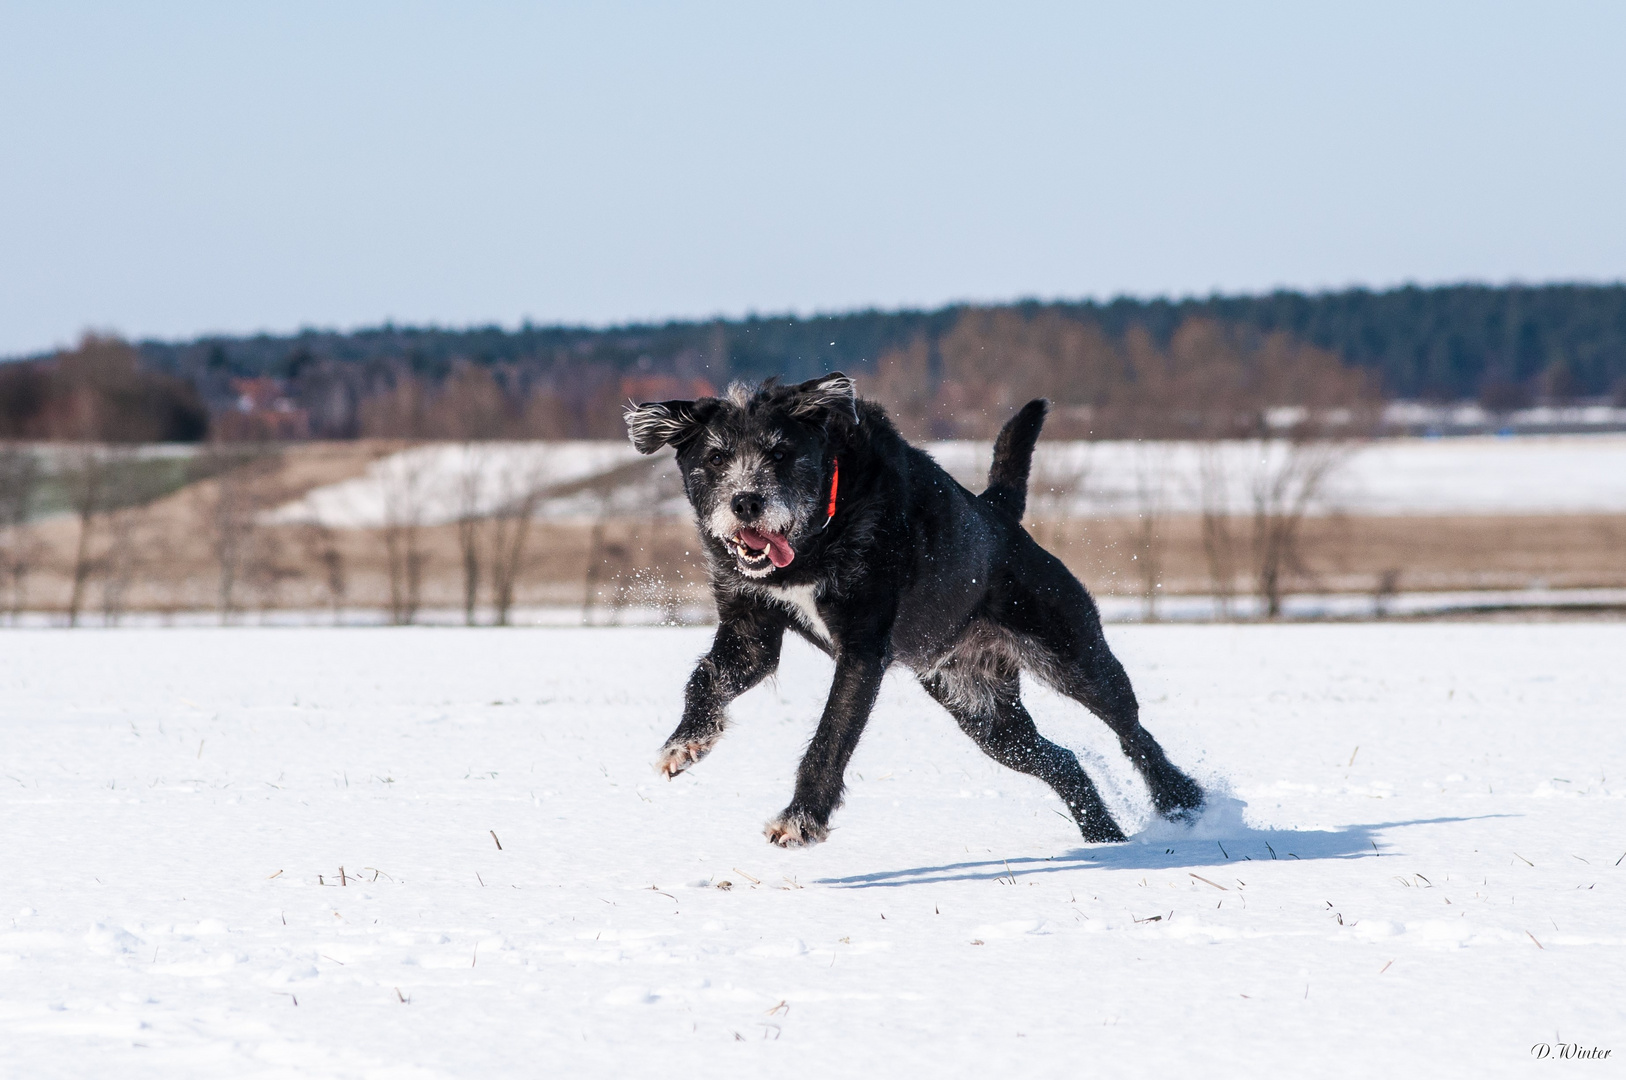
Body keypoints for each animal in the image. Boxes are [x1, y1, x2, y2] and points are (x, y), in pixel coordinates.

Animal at [627, 375, 1203, 845]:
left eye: (780, 453)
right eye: (715, 458)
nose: (746, 501)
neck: (818, 538)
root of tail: (997, 513)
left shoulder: (862, 650)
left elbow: (830, 737)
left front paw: (800, 819)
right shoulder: (750, 631)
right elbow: (707, 678)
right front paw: (685, 742)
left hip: (1073, 656)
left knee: (1132, 732)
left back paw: (1181, 801)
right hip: (986, 717)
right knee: (1061, 759)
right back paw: (1104, 836)